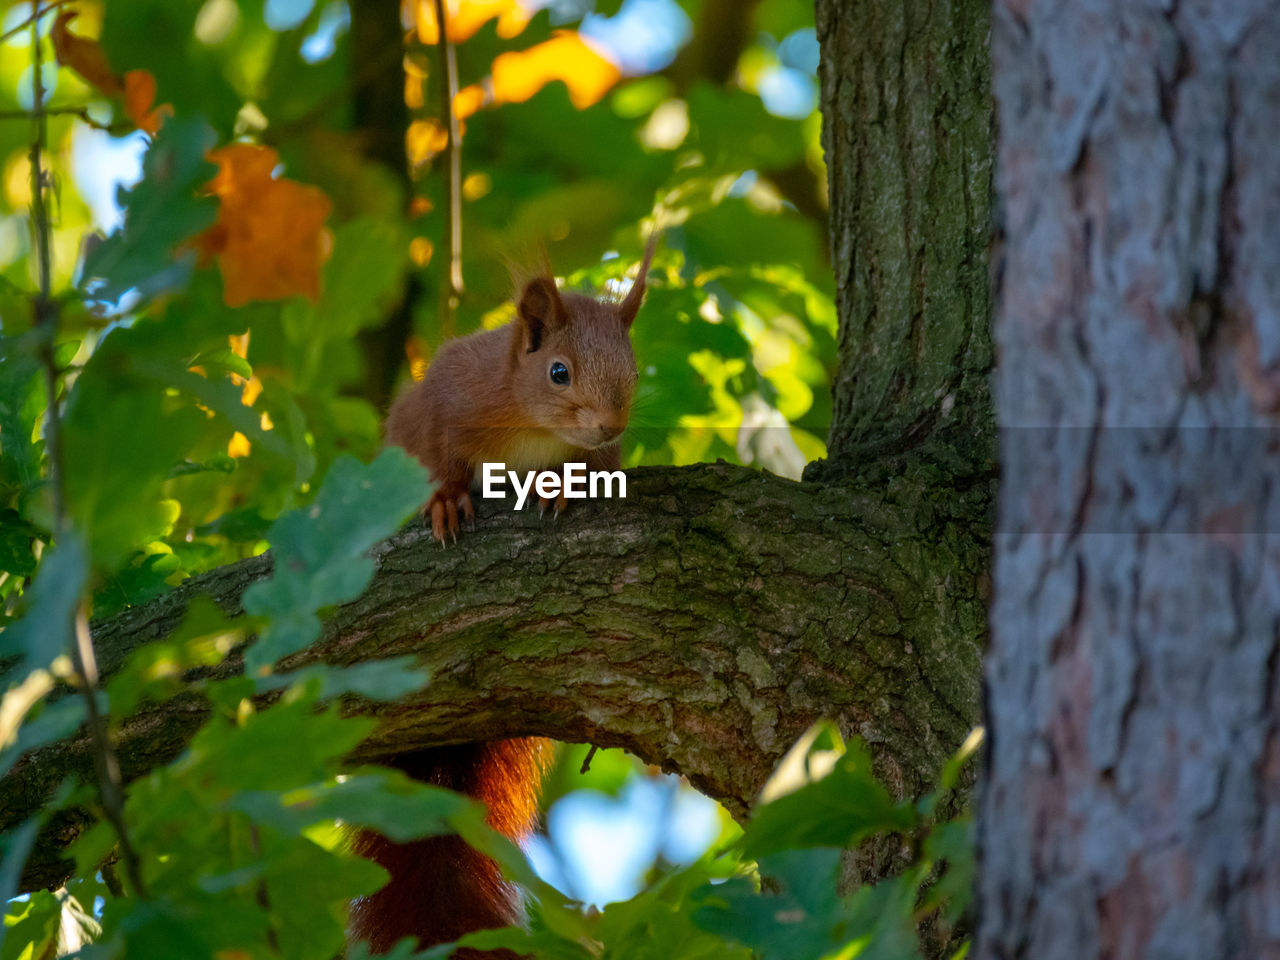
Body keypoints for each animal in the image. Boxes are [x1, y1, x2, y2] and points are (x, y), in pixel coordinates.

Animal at [345, 241, 655, 957]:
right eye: (558, 371)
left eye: (633, 369)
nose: (609, 423)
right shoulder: (442, 405)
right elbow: (438, 463)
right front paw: (446, 502)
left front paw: (563, 489)